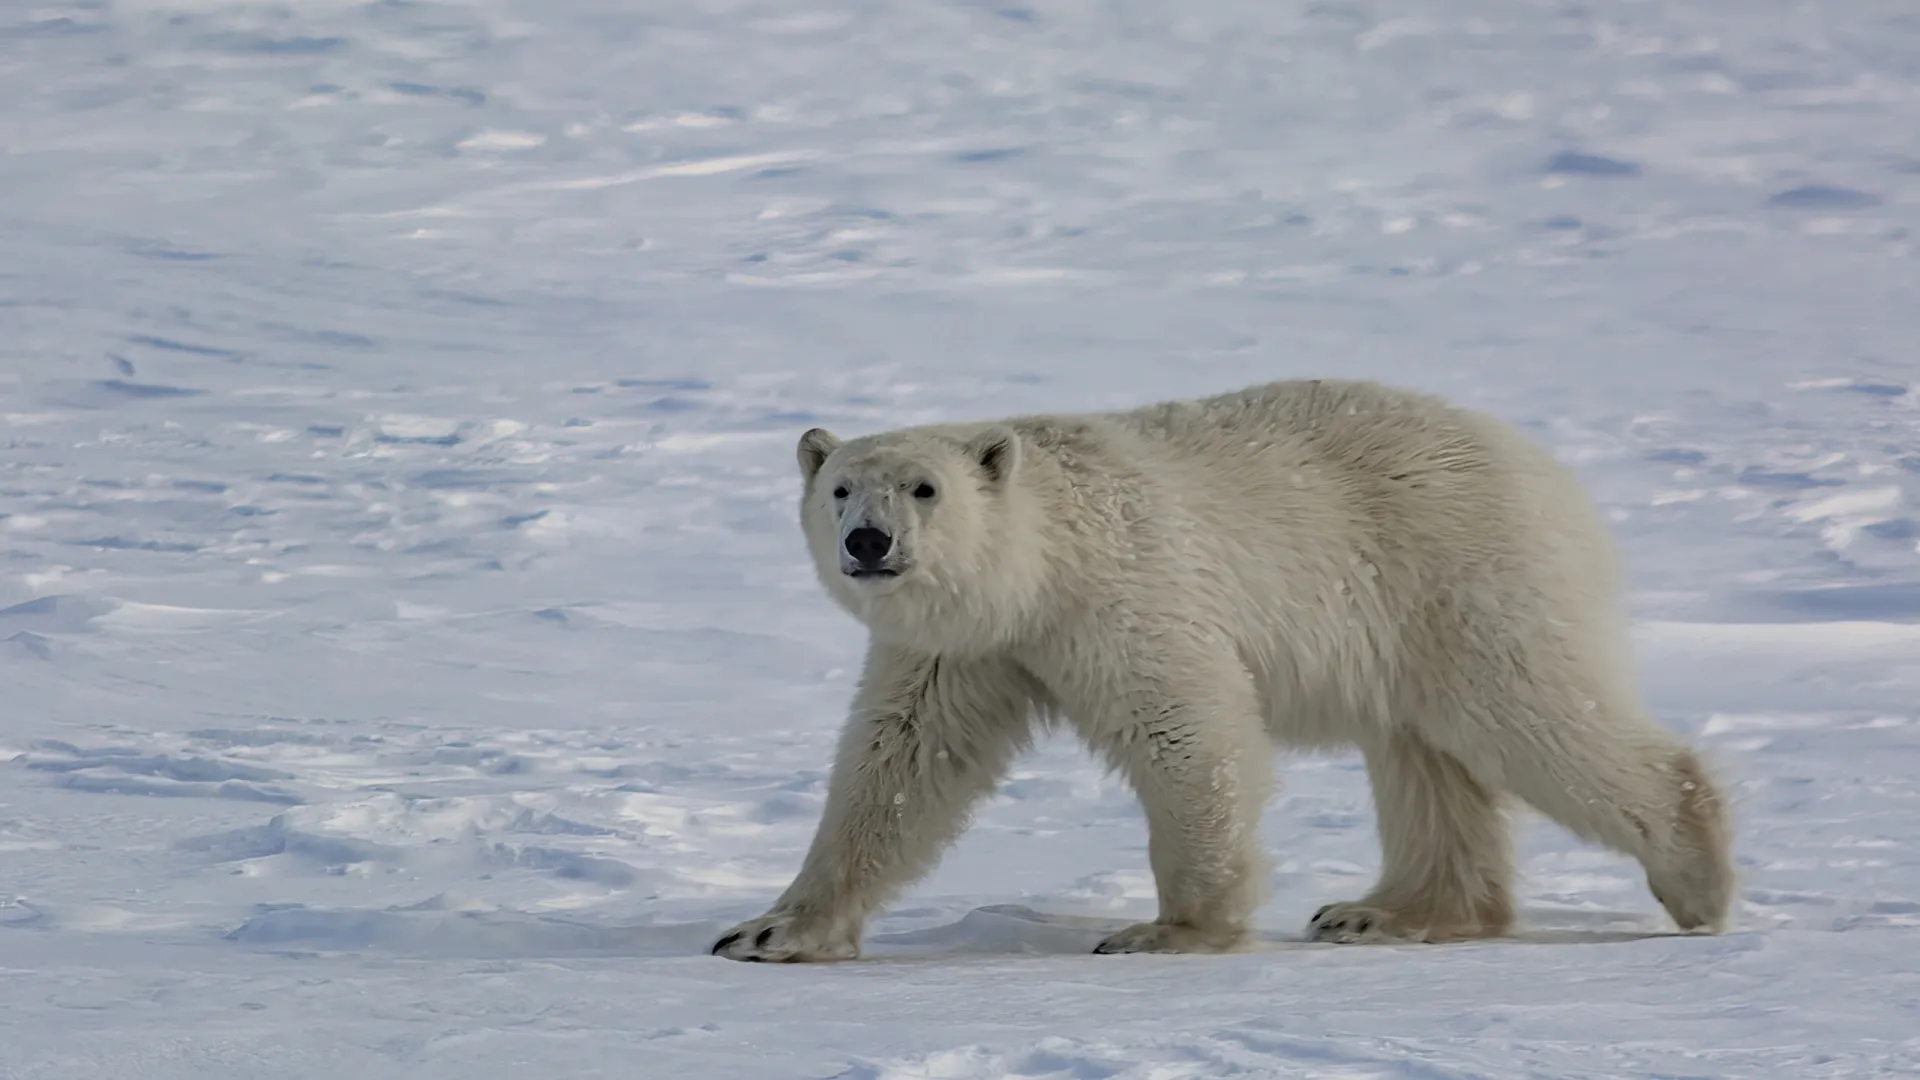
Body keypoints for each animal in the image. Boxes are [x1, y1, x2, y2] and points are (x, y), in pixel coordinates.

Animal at [714, 378, 1735, 957]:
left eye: (925, 488)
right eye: (841, 486)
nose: (870, 542)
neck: (1041, 567)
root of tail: (1543, 467)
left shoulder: (1124, 594)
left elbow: (1185, 726)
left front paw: (1168, 930)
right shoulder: (960, 649)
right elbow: (898, 764)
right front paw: (769, 929)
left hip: (1459, 570)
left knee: (1525, 713)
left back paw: (1697, 879)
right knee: (1424, 759)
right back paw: (1382, 913)